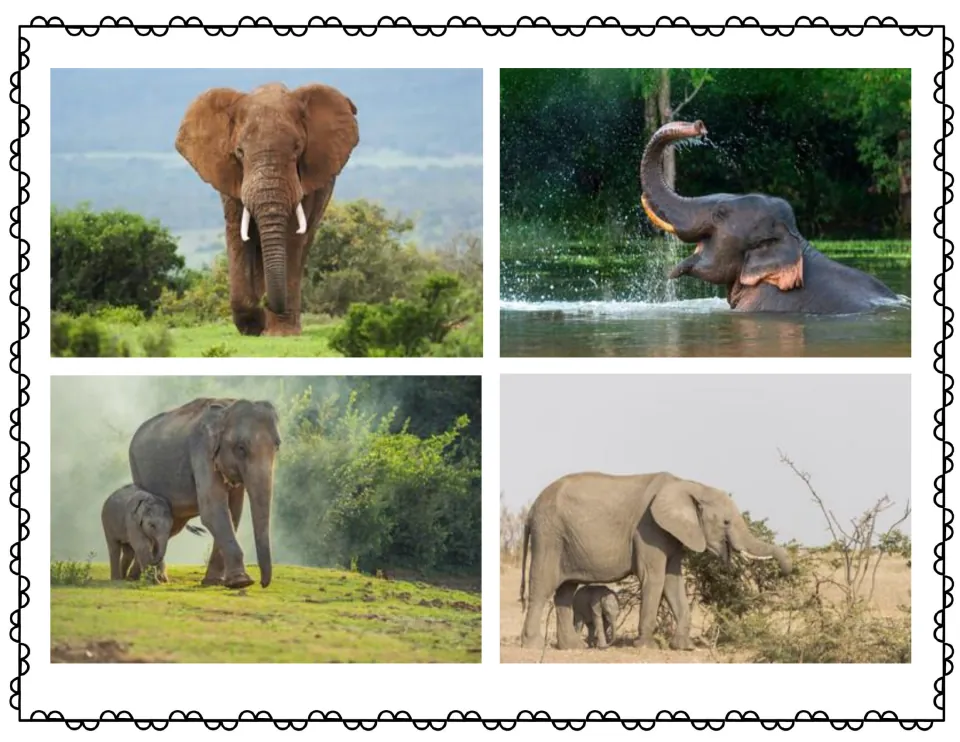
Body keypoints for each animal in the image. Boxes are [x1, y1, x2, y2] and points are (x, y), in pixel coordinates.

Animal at [128, 397, 281, 589]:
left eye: (277, 446)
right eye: (241, 448)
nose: (263, 583)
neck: (226, 408)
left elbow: (233, 513)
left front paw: (214, 581)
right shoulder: (201, 451)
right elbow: (213, 511)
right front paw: (242, 582)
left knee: (172, 526)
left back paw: (142, 576)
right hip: (138, 473)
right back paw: (148, 578)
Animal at [175, 82, 360, 336]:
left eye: (297, 148)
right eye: (240, 152)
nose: (265, 304)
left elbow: (291, 237)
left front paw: (279, 332)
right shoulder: (230, 175)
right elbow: (237, 232)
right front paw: (252, 325)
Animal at [518, 471, 791, 651]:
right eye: (725, 522)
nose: (788, 571)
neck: (689, 486)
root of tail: (531, 511)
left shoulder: (674, 534)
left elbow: (673, 581)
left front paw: (684, 647)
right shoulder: (649, 529)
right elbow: (654, 578)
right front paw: (645, 646)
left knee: (565, 589)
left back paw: (572, 647)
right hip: (549, 533)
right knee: (543, 585)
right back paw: (532, 646)